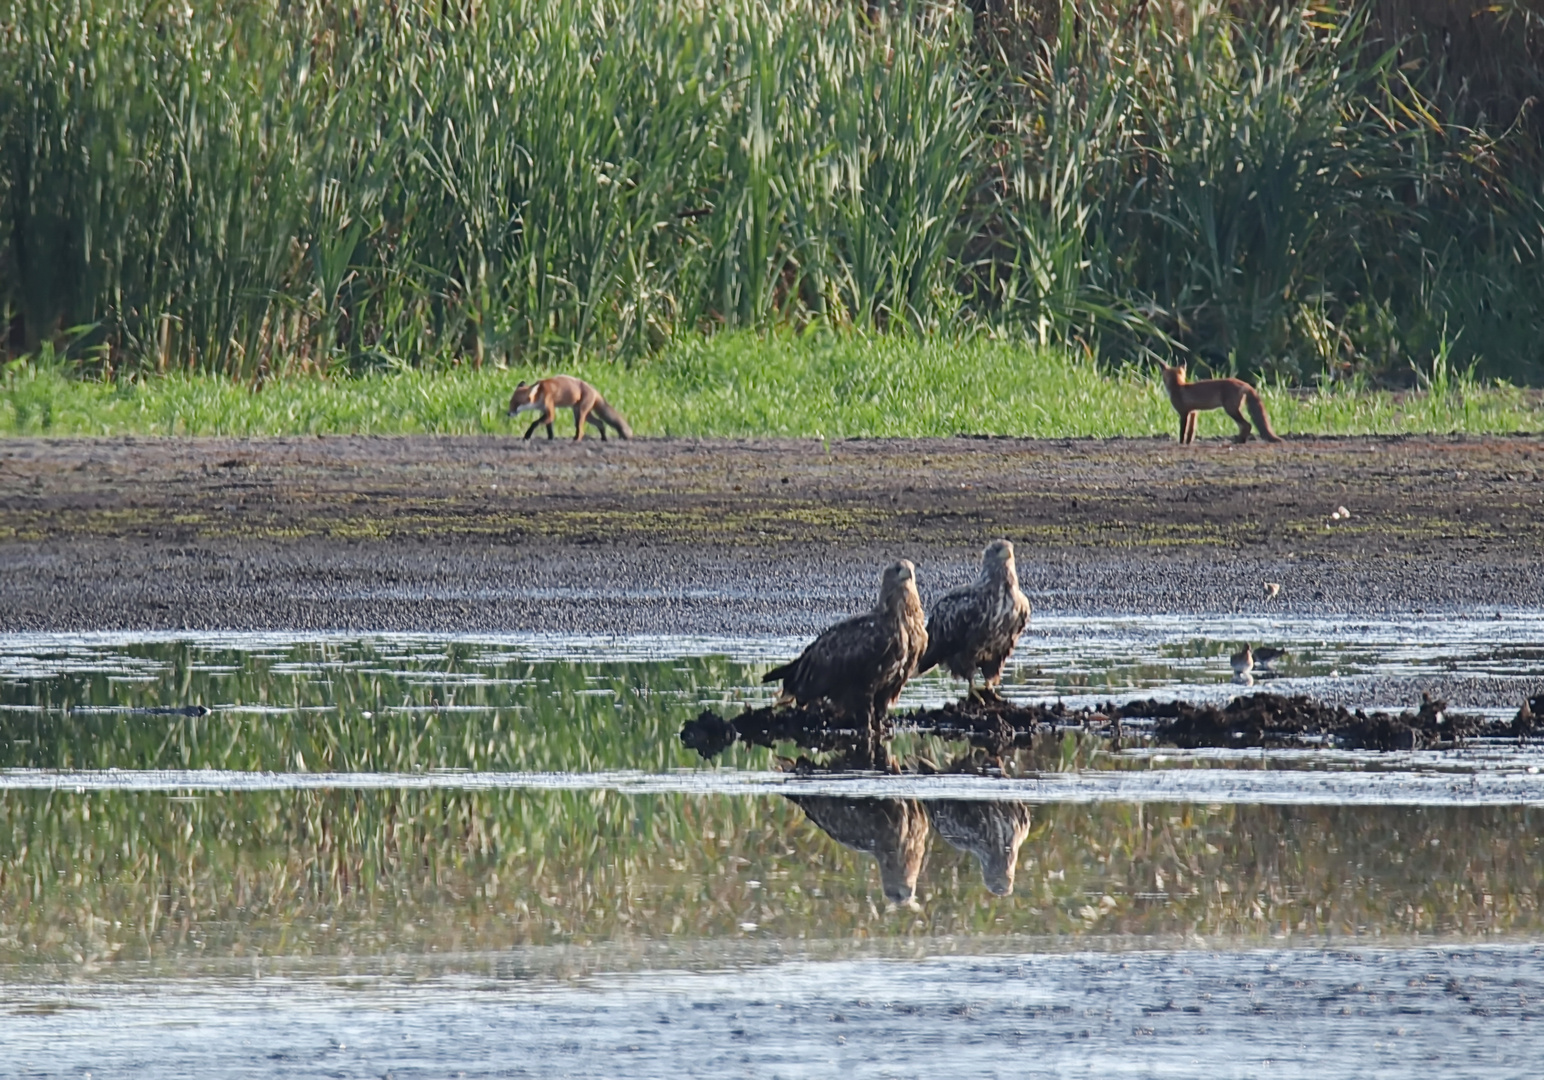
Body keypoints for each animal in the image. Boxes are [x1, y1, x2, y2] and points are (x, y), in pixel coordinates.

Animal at [1154, 361, 1284, 444]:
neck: (1178, 386)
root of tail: (1244, 383)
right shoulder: (1194, 412)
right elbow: (1191, 431)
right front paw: (1188, 443)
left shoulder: (1183, 413)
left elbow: (1183, 431)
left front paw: (1181, 443)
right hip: (1233, 410)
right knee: (1245, 426)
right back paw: (1240, 440)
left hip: (1230, 410)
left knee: (1247, 425)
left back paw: (1239, 441)